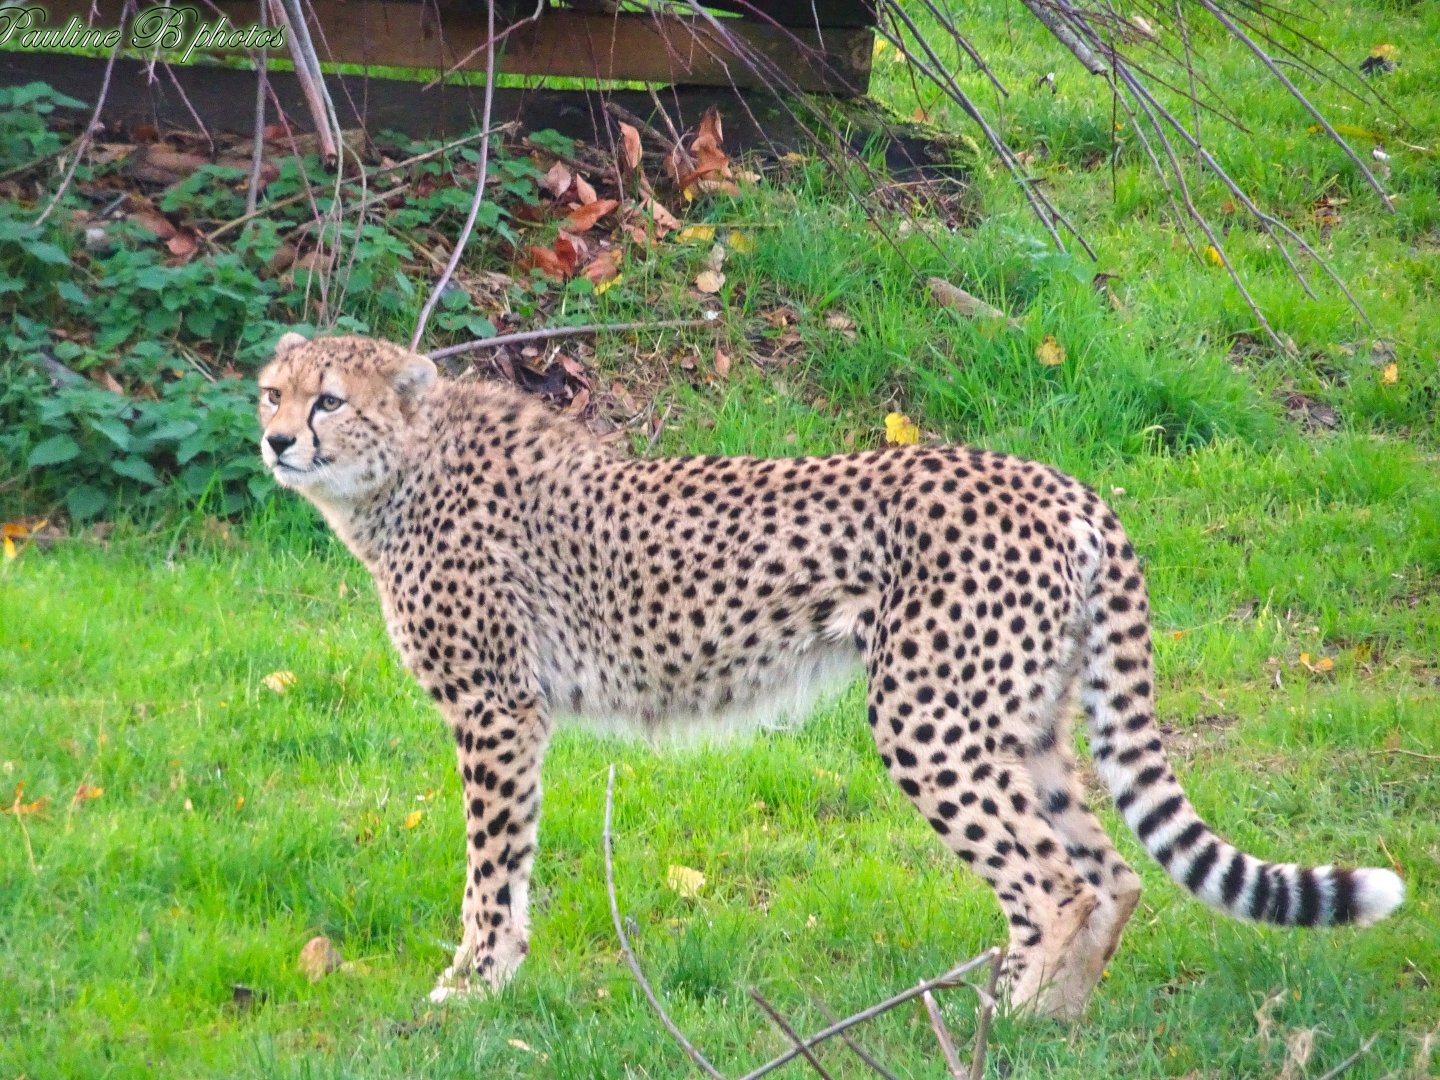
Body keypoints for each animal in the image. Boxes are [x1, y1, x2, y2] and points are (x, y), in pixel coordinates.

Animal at [257, 331, 1403, 1019]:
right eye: (275, 392)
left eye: (331, 403)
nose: (272, 441)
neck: (403, 470)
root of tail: (1061, 483)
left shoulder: (495, 711)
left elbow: (493, 869)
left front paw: (474, 985)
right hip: (1023, 721)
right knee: (1113, 871)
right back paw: (1059, 1027)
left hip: (924, 715)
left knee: (1057, 880)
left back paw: (1005, 1026)